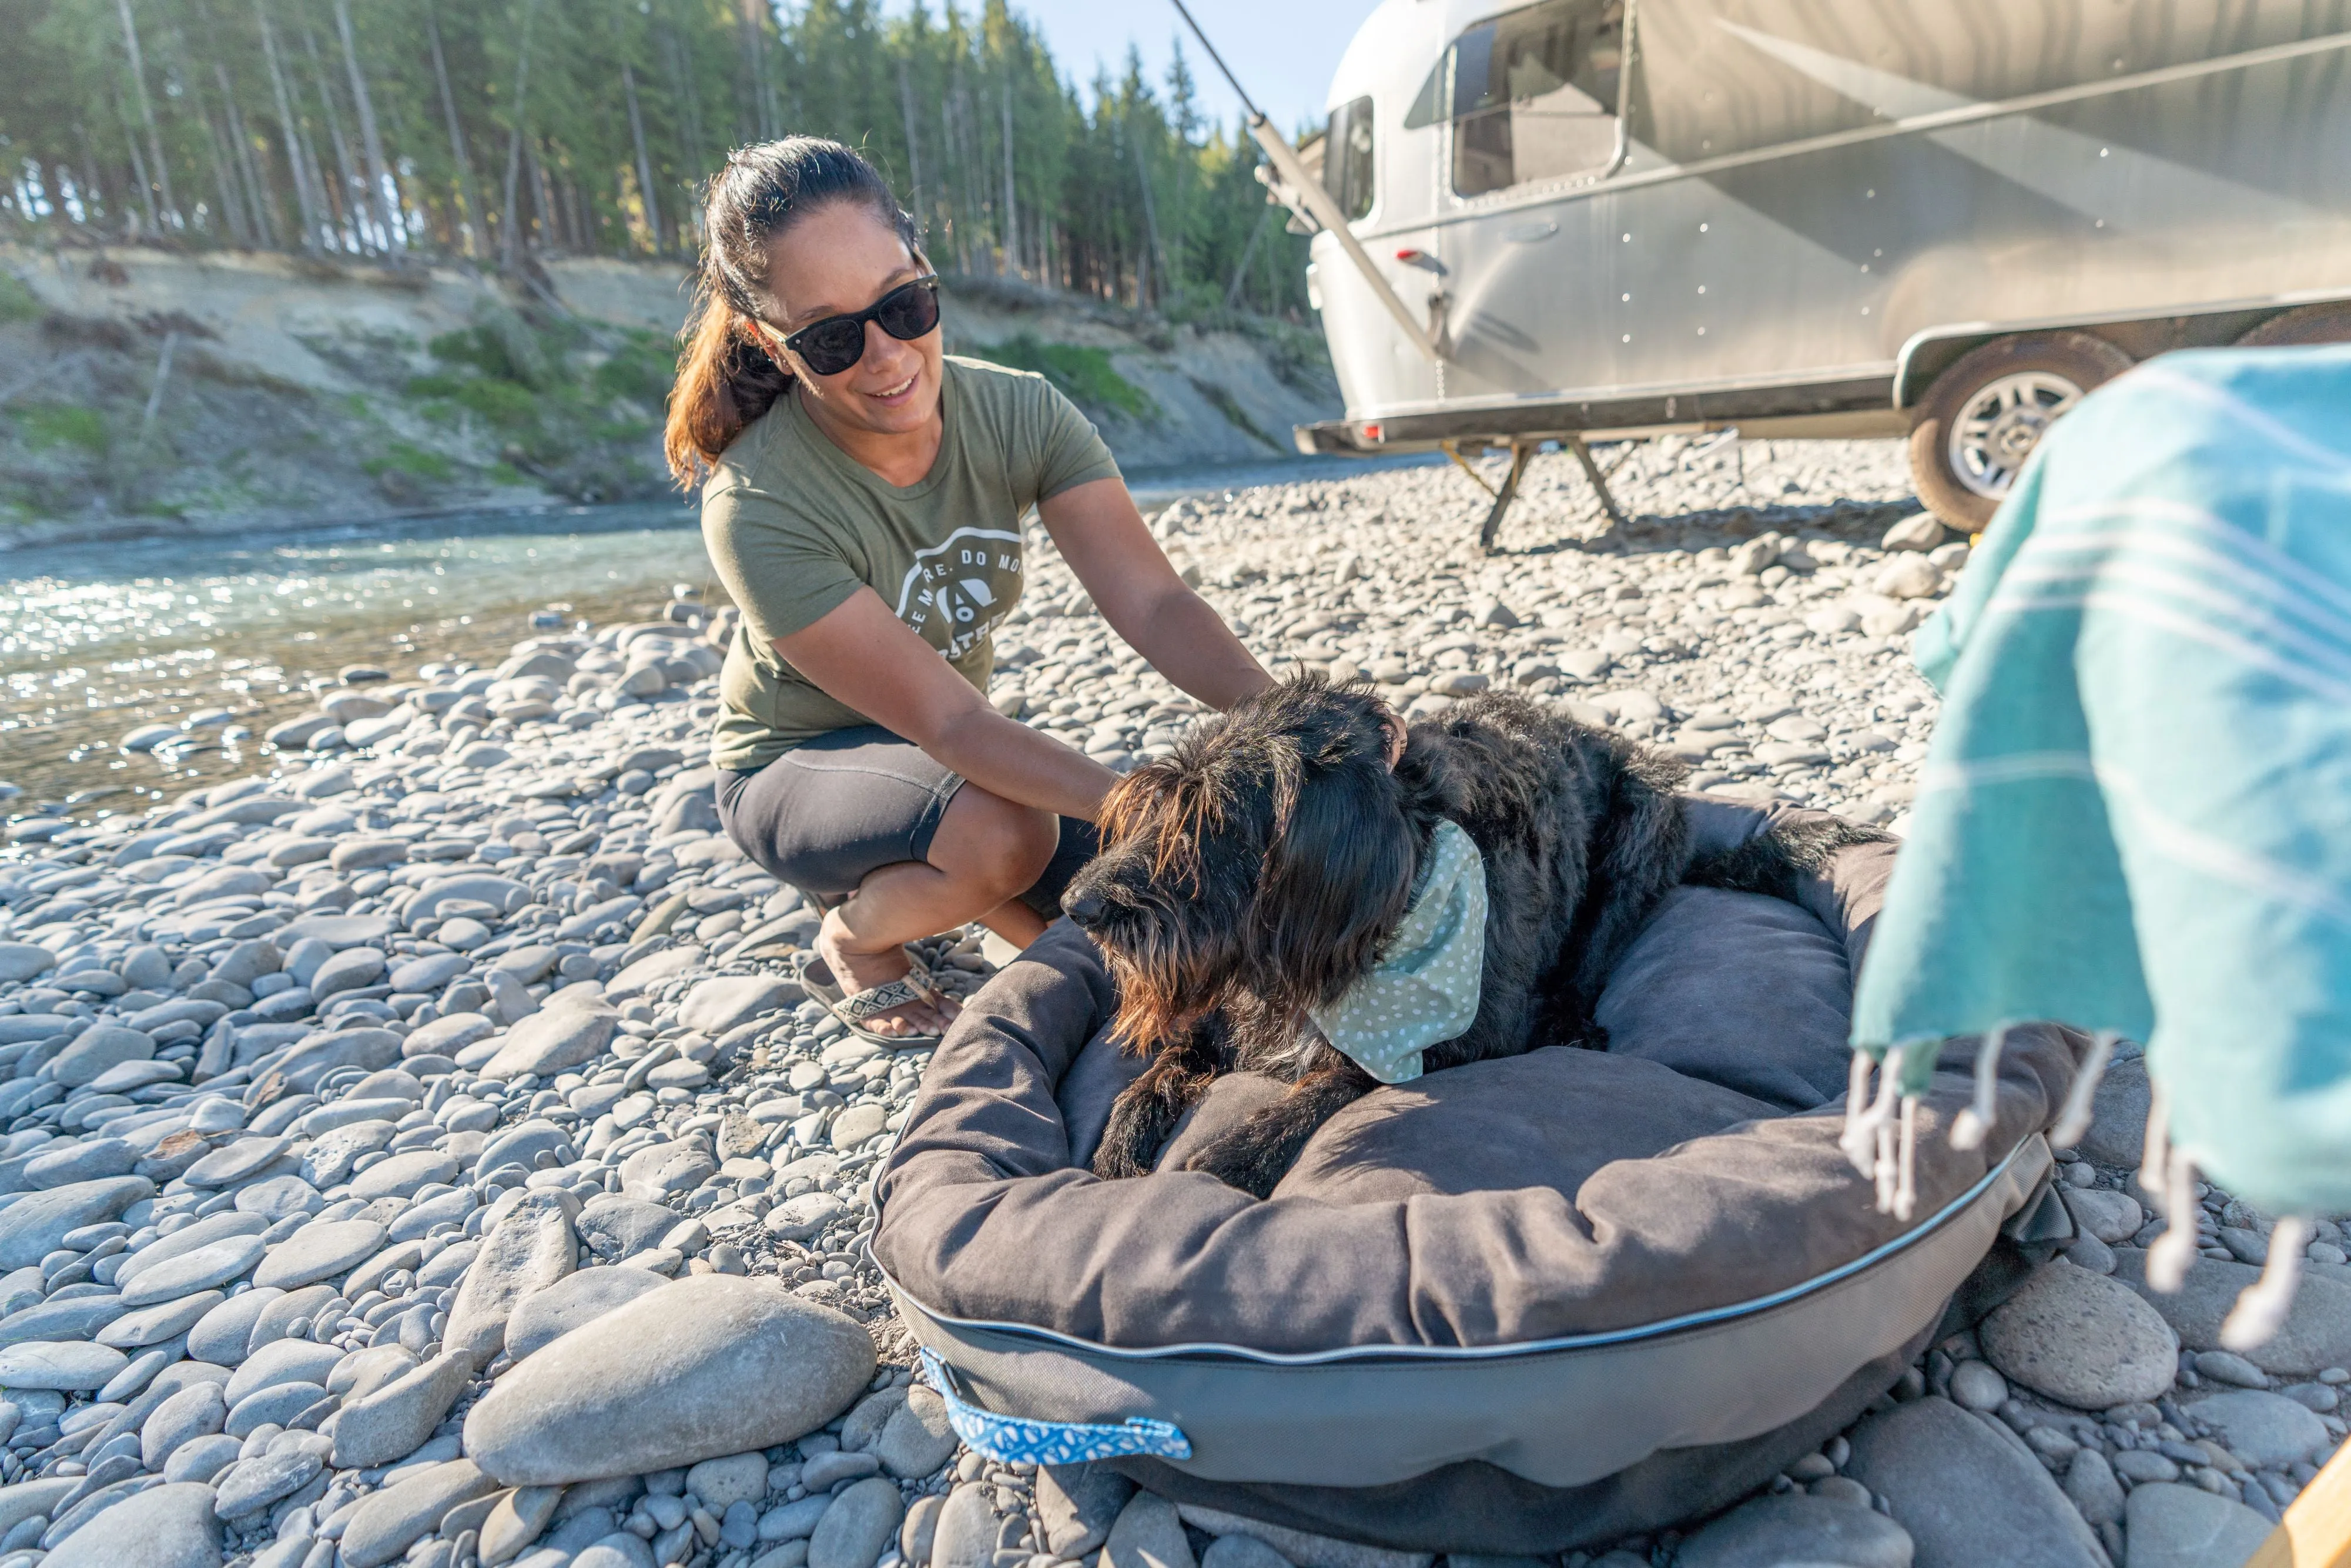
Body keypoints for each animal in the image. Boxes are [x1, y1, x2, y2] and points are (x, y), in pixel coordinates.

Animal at [1067, 677, 1871, 1204]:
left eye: (1210, 821)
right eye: (1154, 810)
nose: (1078, 905)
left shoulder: (1460, 1038)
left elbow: (1336, 1083)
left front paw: (1232, 1154)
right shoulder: (1225, 1020)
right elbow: (1164, 1065)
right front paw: (1120, 1144)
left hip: (1638, 836)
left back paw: (1571, 1021)